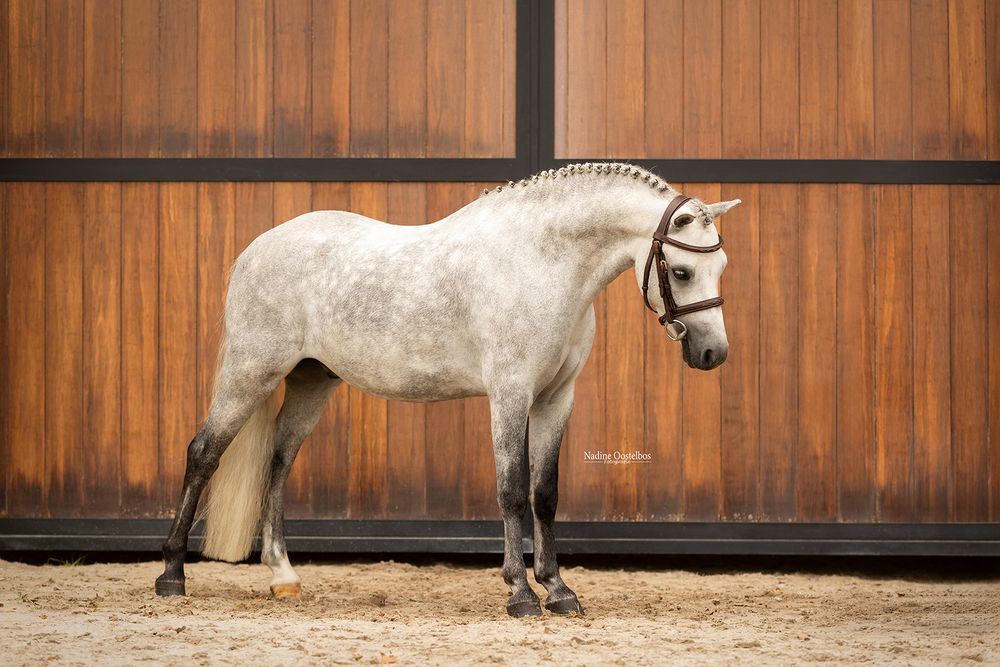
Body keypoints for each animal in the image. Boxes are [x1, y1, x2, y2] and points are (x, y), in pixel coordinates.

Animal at [154, 162, 740, 617]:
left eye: (721, 266)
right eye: (681, 271)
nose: (714, 354)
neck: (540, 262)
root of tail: (258, 248)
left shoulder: (556, 398)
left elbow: (544, 494)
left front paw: (558, 590)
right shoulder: (510, 394)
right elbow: (511, 490)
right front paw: (520, 594)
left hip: (310, 381)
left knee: (278, 461)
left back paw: (283, 576)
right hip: (250, 371)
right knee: (203, 453)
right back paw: (172, 575)